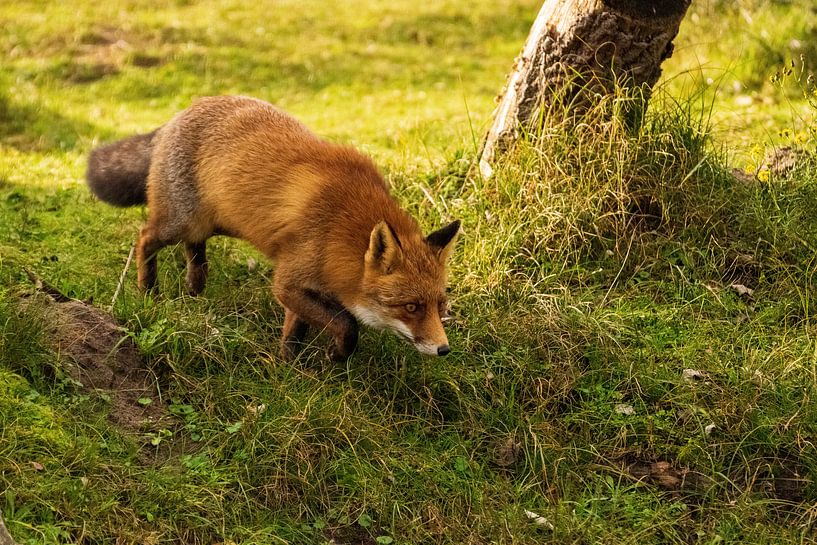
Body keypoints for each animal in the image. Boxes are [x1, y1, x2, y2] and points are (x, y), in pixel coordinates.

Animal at [86, 95, 460, 361]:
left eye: (440, 305)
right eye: (410, 307)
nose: (444, 349)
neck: (341, 230)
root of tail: (179, 114)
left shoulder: (305, 285)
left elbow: (295, 329)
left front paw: (288, 366)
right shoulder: (289, 281)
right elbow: (347, 324)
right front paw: (335, 355)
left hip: (209, 223)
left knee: (195, 249)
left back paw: (195, 286)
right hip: (179, 221)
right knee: (145, 238)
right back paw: (148, 290)